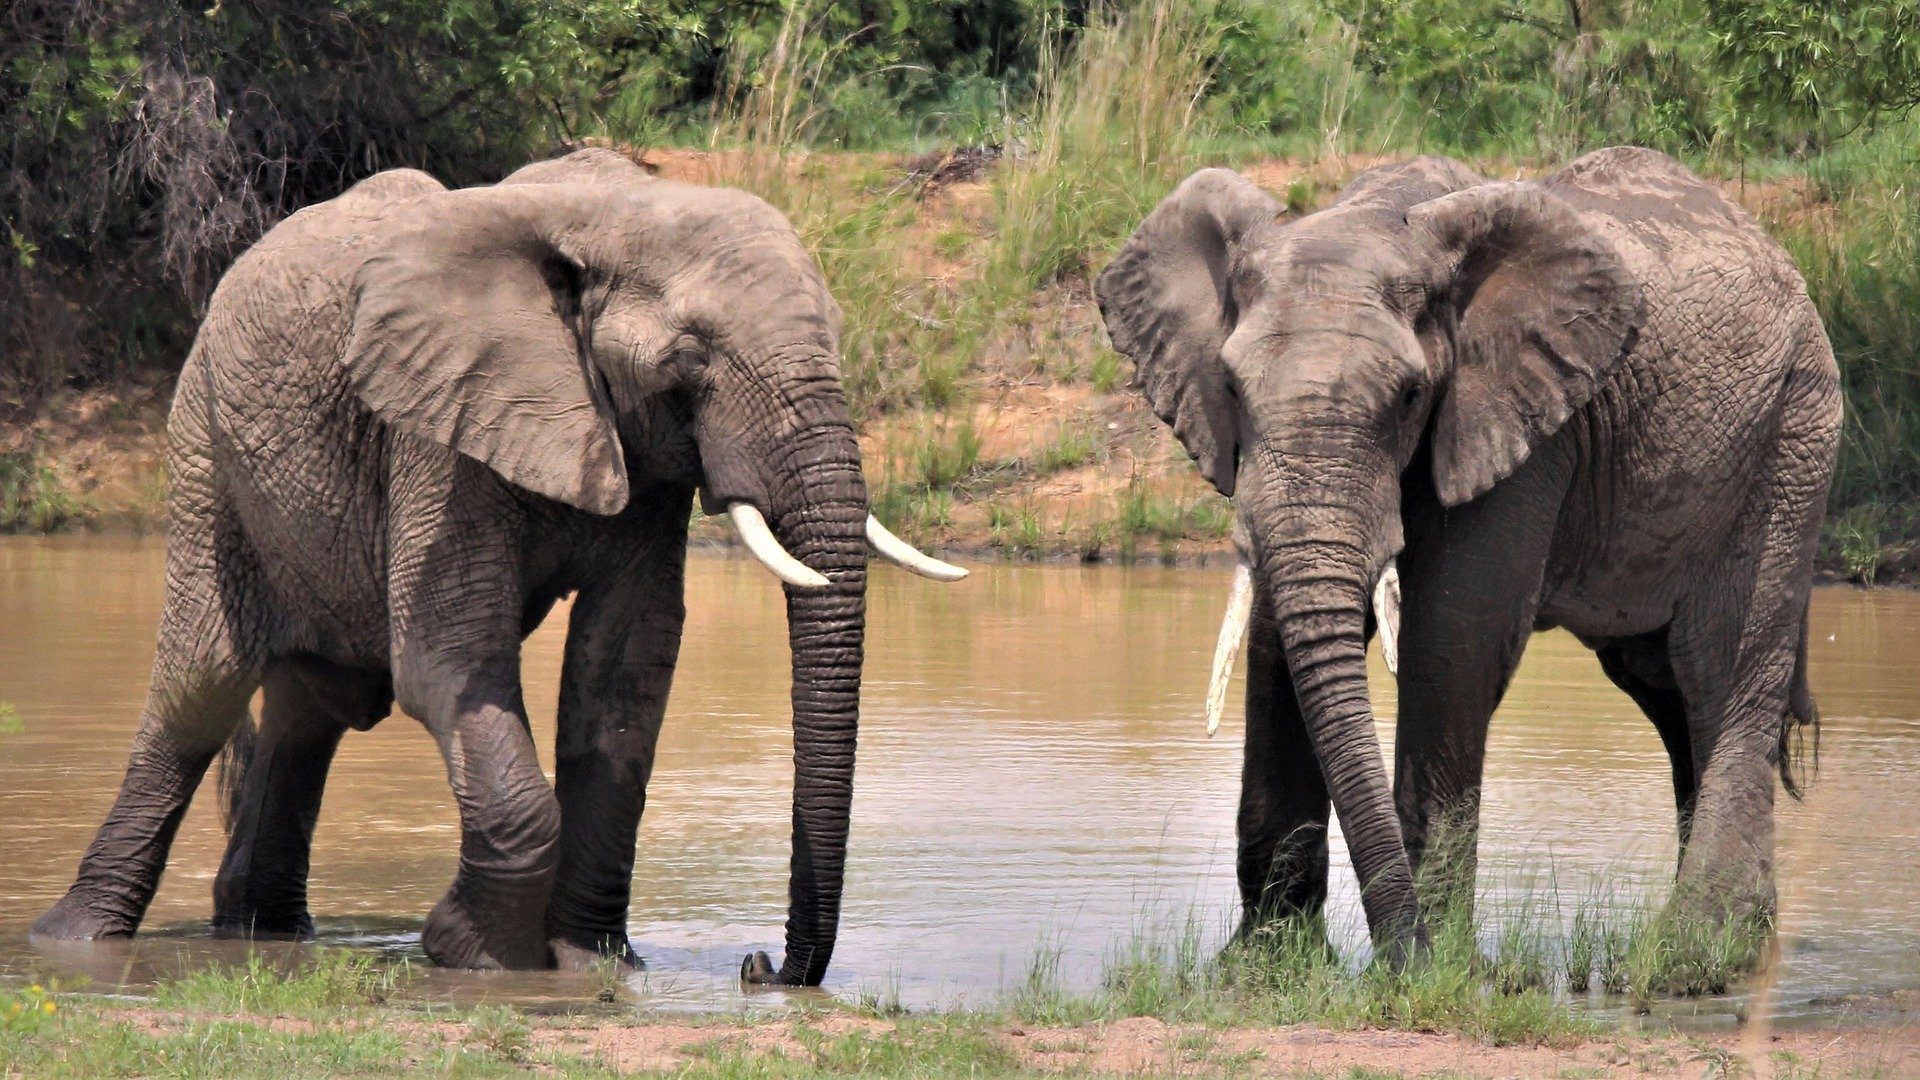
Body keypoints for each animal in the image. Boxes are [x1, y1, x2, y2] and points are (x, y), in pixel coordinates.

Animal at [32, 147, 966, 983]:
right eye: (691, 358)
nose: (761, 965)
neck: (619, 211)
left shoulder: (641, 462)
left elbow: (623, 671)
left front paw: (592, 960)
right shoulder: (435, 433)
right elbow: (449, 662)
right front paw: (479, 959)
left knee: (306, 709)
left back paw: (259, 932)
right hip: (204, 445)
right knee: (202, 688)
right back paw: (73, 940)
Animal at [1096, 147, 1839, 964]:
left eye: (1409, 396)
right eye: (1229, 386)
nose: (1403, 954)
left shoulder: (1525, 429)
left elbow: (1454, 635)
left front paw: (1438, 967)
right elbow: (1274, 639)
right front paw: (1263, 965)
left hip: (1793, 437)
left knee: (1722, 670)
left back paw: (1701, 953)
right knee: (1663, 685)